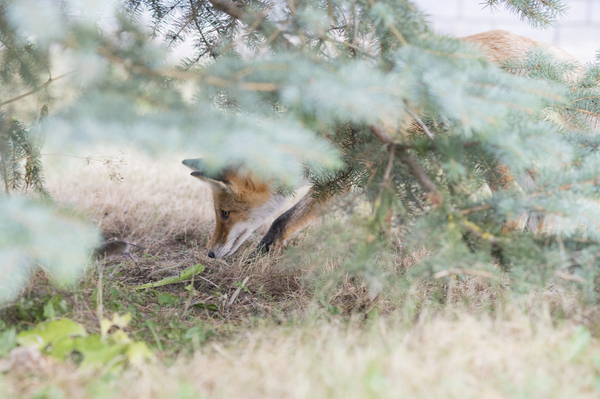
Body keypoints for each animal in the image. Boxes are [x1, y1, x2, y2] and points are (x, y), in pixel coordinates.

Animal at [186, 30, 580, 260]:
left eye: (224, 213)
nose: (209, 254)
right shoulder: (384, 168)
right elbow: (382, 219)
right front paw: (384, 255)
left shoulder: (351, 172)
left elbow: (283, 220)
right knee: (540, 204)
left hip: (491, 152)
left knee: (515, 210)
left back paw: (490, 252)